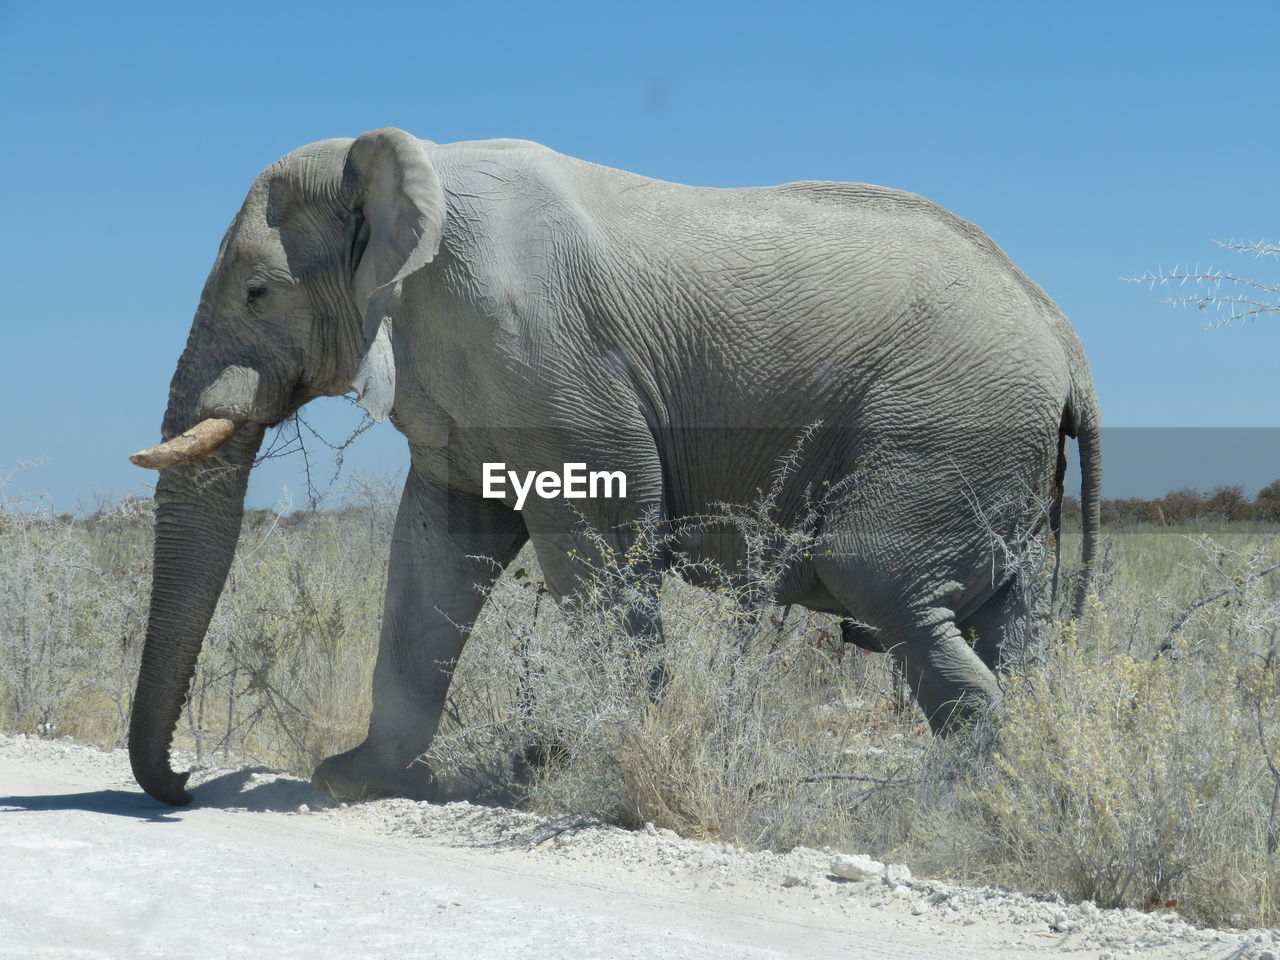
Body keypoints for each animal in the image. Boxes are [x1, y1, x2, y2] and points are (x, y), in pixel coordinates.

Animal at [127, 126, 1100, 803]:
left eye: (258, 292)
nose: (184, 784)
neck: (410, 164)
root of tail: (1063, 337)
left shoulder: (547, 360)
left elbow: (600, 531)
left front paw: (590, 768)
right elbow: (436, 551)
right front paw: (352, 779)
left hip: (944, 423)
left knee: (879, 580)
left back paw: (920, 805)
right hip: (993, 449)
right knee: (1011, 621)